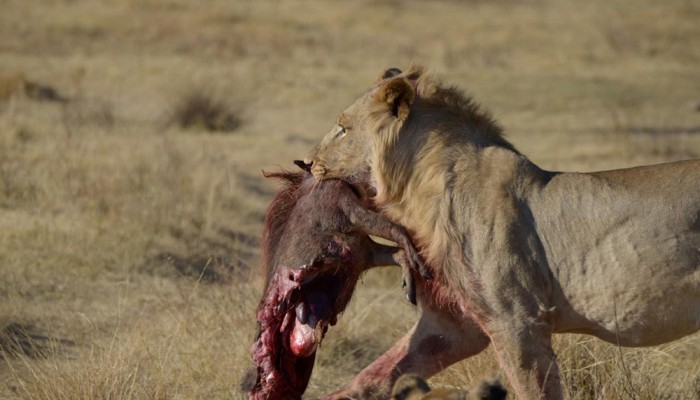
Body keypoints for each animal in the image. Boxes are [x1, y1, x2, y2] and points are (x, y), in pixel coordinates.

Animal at [302, 67, 700, 398]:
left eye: (343, 128)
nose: (307, 162)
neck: (418, 194)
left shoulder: (518, 320)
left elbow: (536, 391)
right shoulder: (454, 324)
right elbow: (376, 374)